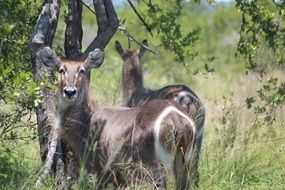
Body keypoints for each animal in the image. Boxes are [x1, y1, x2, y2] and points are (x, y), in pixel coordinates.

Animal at [38, 46, 196, 189]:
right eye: (61, 70)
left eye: (82, 70)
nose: (70, 91)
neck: (88, 122)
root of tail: (175, 117)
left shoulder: (102, 171)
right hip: (184, 163)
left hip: (156, 167)